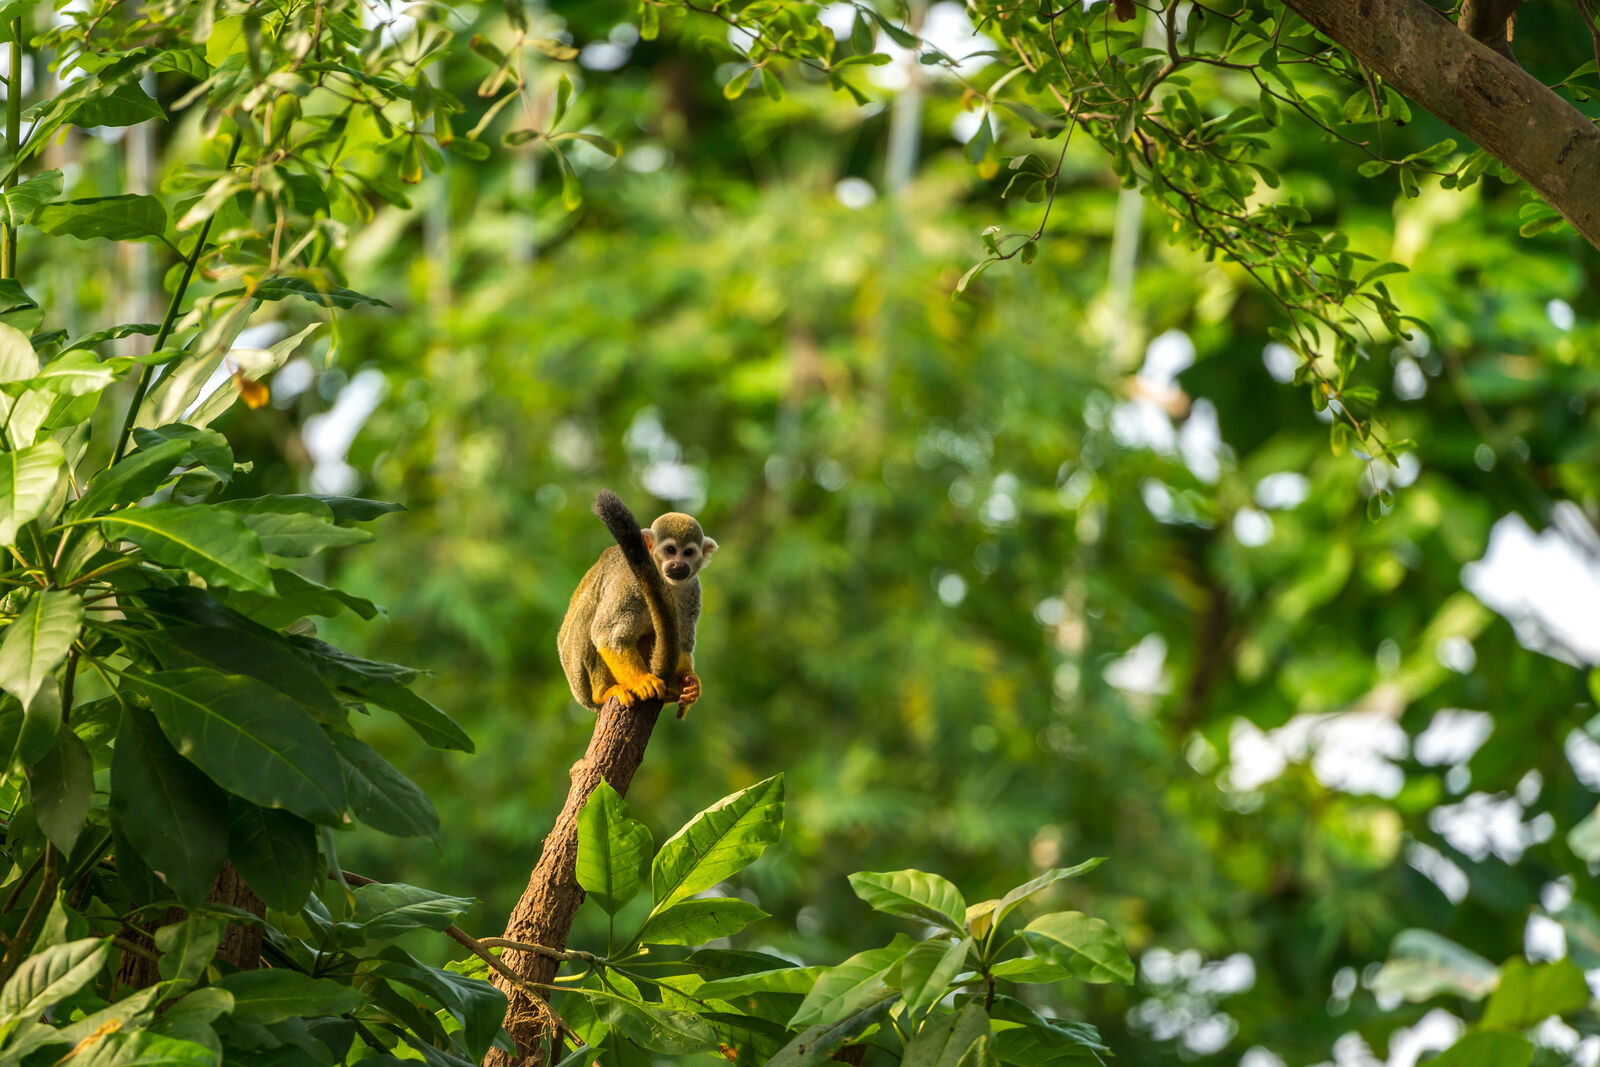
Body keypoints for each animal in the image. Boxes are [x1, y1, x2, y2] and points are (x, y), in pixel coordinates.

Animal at [556, 492, 720, 716]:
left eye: (688, 553)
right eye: (670, 550)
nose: (678, 565)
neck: (664, 581)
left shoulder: (692, 588)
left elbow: (684, 642)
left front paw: (689, 682)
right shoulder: (629, 581)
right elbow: (608, 635)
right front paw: (641, 681)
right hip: (578, 679)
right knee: (589, 616)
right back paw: (603, 692)